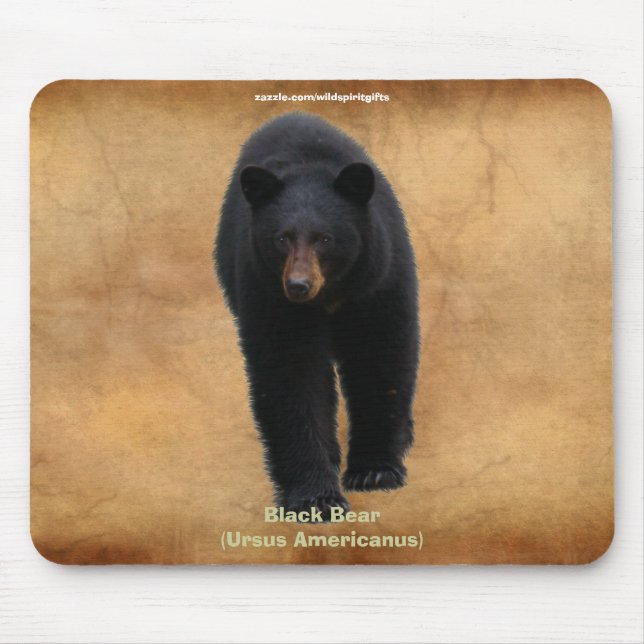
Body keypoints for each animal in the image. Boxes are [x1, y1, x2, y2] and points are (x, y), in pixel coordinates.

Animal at [214, 111, 419, 520]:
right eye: (281, 238)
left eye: (325, 238)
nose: (298, 285)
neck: (331, 295)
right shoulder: (267, 293)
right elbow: (291, 376)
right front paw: (316, 498)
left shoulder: (379, 281)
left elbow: (380, 357)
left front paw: (374, 472)